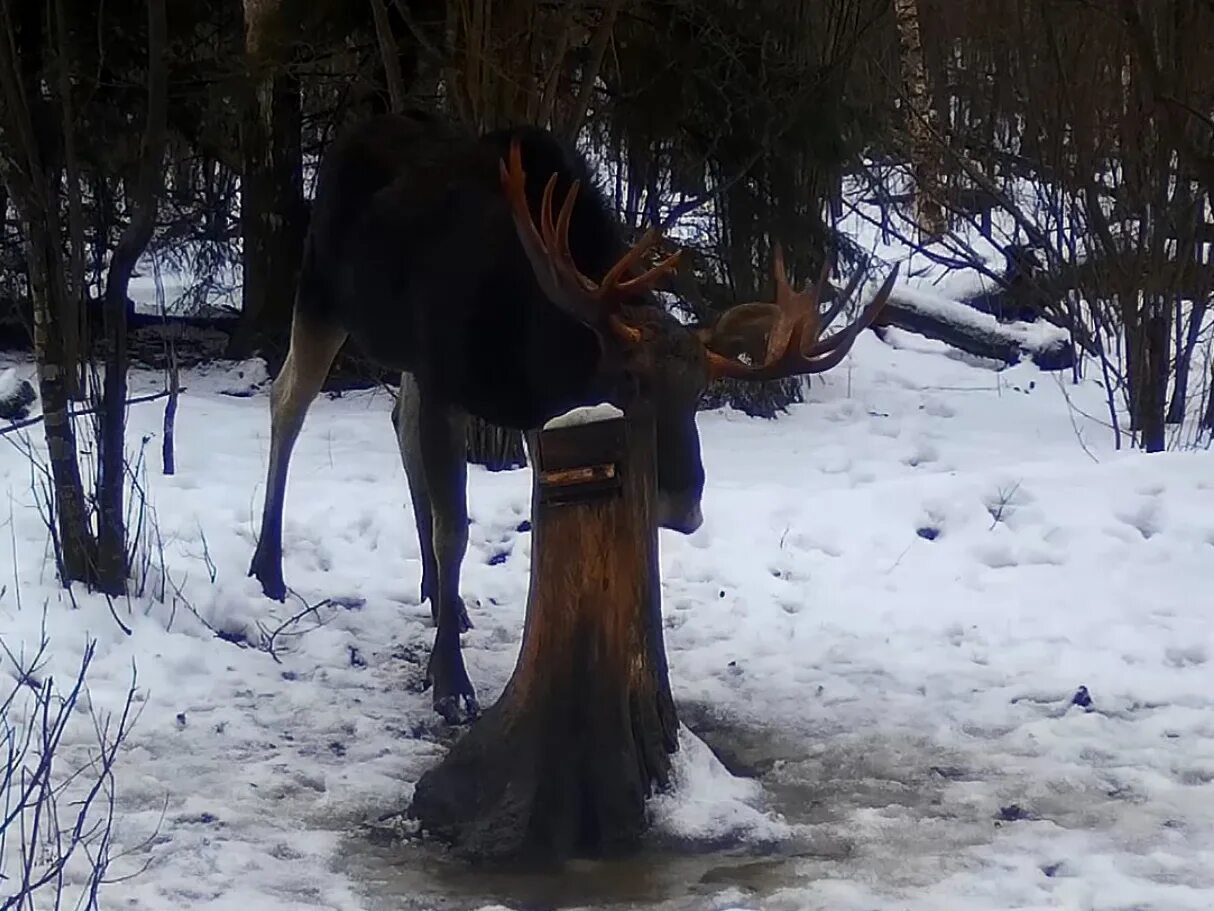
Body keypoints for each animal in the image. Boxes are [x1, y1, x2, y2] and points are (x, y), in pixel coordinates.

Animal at [246, 108, 898, 719]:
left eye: (699, 393)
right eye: (630, 380)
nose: (684, 506)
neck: (533, 346)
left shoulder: (536, 411)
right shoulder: (446, 378)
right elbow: (454, 530)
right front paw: (451, 683)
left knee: (397, 424)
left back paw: (438, 595)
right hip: (320, 291)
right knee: (288, 399)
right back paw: (268, 568)